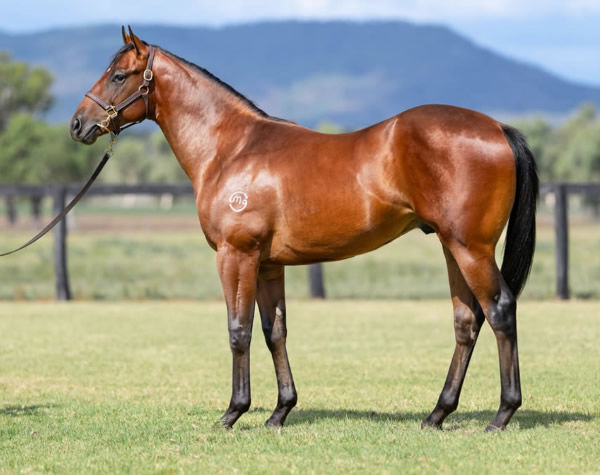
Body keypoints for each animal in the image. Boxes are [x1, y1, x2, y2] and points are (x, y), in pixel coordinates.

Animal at [71, 27, 540, 434]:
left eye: (118, 75)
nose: (78, 124)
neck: (232, 148)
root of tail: (498, 128)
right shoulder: (267, 264)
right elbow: (273, 332)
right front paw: (280, 411)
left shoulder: (236, 254)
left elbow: (238, 331)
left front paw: (233, 412)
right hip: (451, 246)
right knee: (466, 321)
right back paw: (437, 414)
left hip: (471, 248)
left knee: (500, 311)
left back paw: (502, 414)